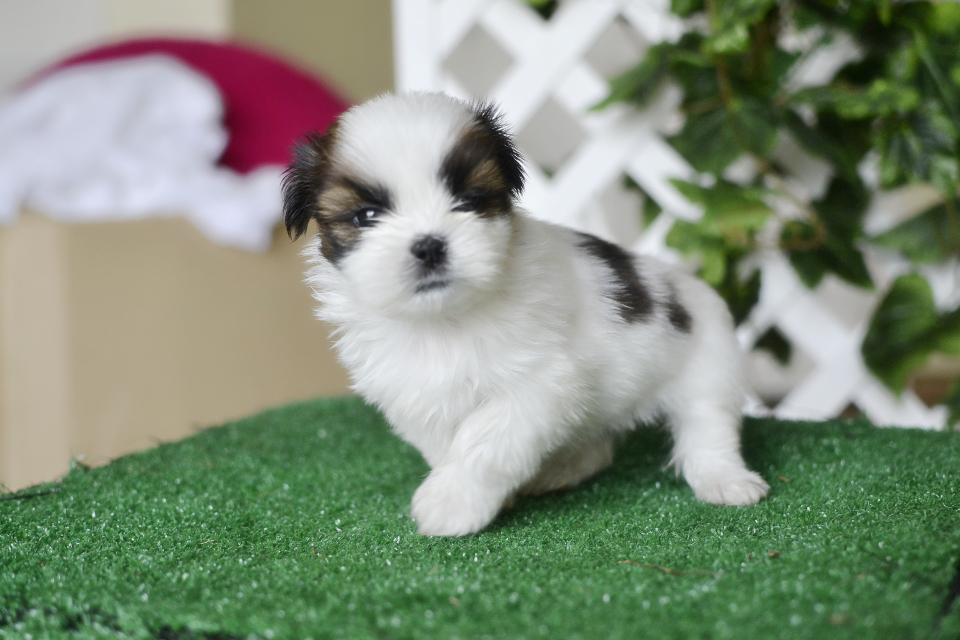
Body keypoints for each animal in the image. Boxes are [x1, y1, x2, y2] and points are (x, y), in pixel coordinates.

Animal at [282, 92, 769, 536]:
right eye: (365, 216)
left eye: (470, 200)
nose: (429, 245)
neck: (443, 321)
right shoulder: (419, 396)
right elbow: (448, 443)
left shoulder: (541, 384)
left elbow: (484, 440)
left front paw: (450, 502)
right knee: (599, 449)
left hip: (710, 366)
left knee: (708, 426)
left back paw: (726, 481)